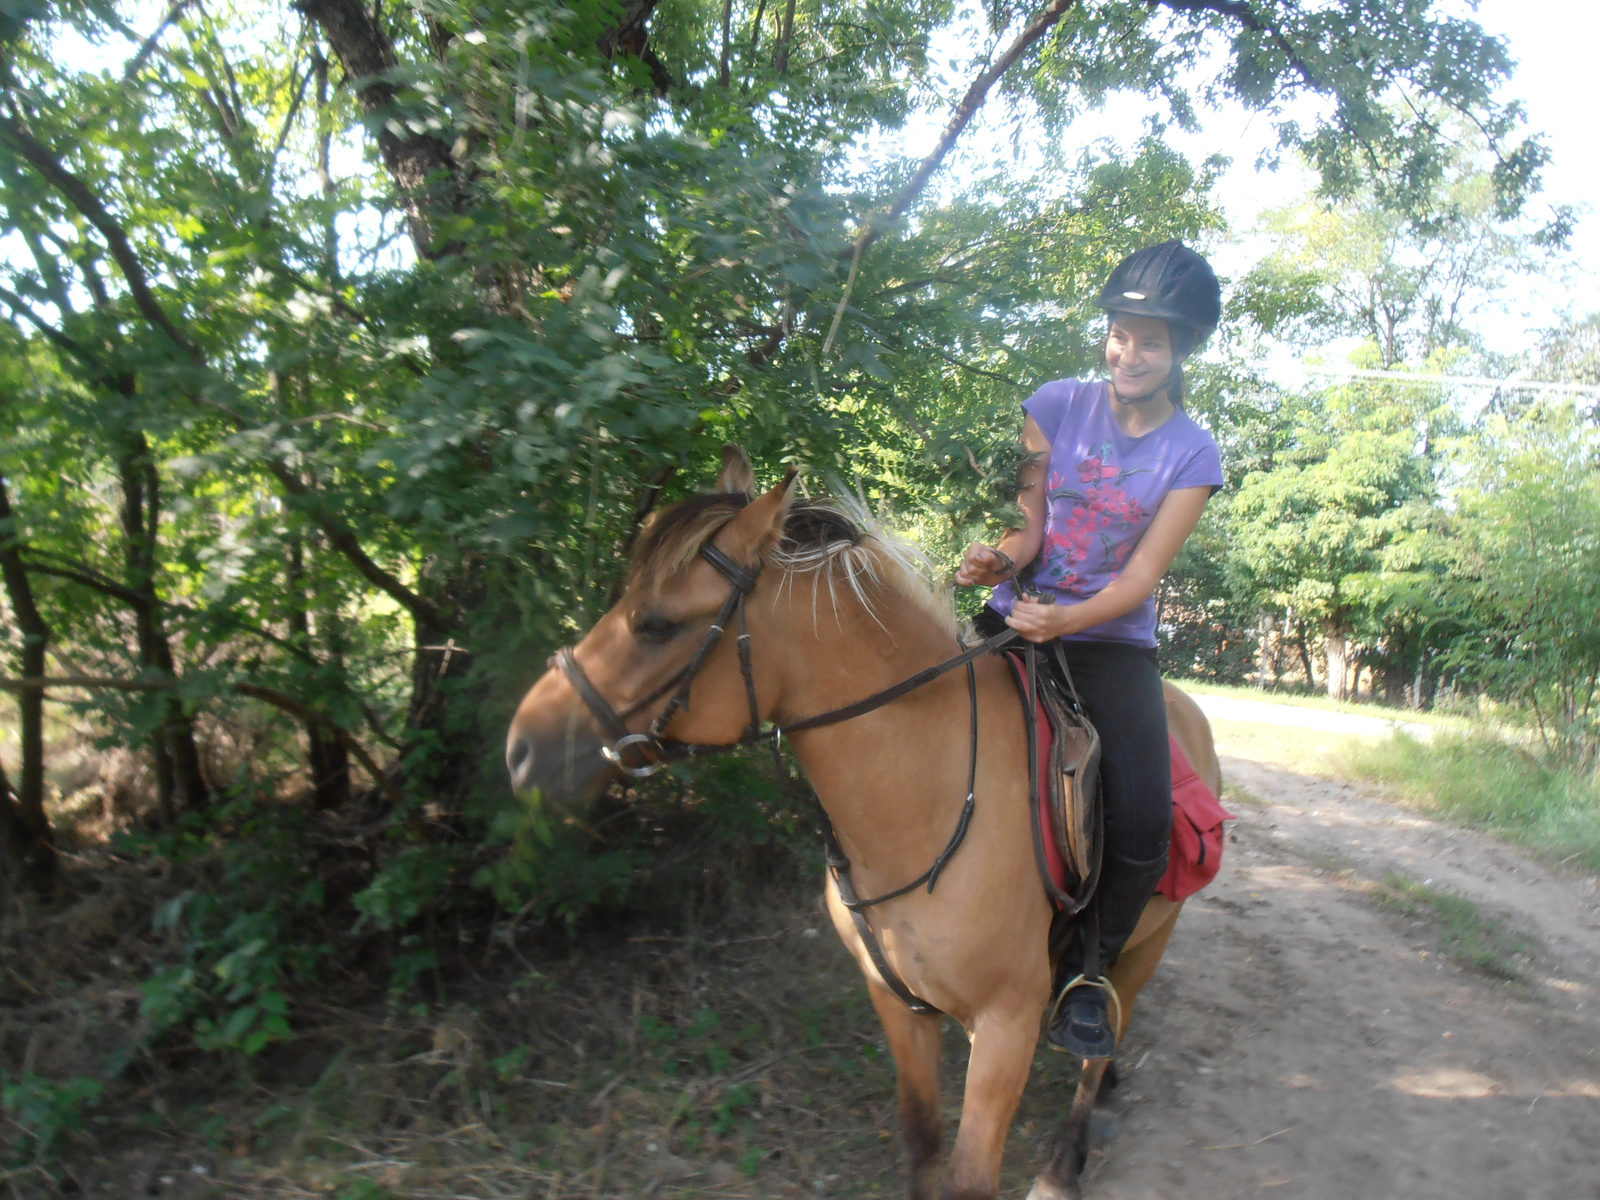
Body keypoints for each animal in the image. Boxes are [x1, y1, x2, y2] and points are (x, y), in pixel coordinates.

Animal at [505, 451, 1216, 1200]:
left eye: (656, 625)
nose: (520, 748)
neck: (927, 800)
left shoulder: (1006, 1024)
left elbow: (969, 1174)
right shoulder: (901, 1007)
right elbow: (922, 1142)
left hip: (1143, 947)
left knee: (1097, 1047)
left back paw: (1061, 1166)